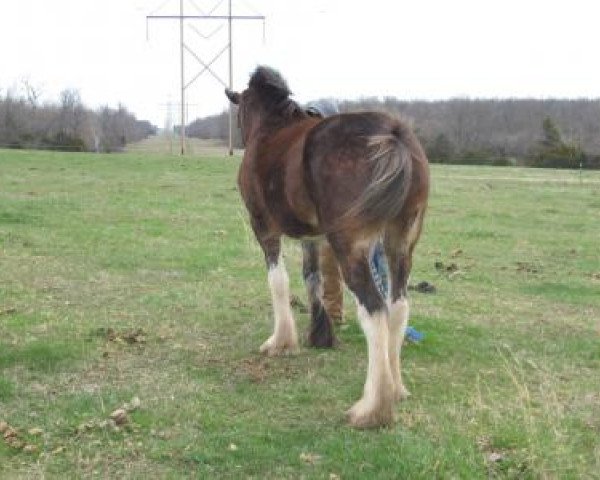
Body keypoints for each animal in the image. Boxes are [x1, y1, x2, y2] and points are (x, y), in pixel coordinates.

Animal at [223, 66, 428, 428]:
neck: (270, 131)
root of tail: (393, 134)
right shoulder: (312, 238)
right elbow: (312, 279)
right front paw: (320, 336)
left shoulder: (264, 228)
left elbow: (278, 282)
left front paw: (281, 341)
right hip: (400, 243)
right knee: (398, 307)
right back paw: (396, 388)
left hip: (352, 247)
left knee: (375, 309)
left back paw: (372, 408)